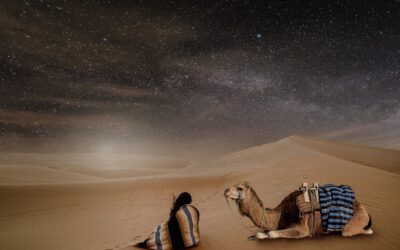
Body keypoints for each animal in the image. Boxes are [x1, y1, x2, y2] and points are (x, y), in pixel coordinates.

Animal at [223, 182, 374, 238]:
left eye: (239, 188)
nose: (225, 191)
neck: (280, 215)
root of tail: (366, 211)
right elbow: (263, 234)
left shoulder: (302, 228)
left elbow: (272, 233)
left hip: (353, 224)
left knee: (350, 232)